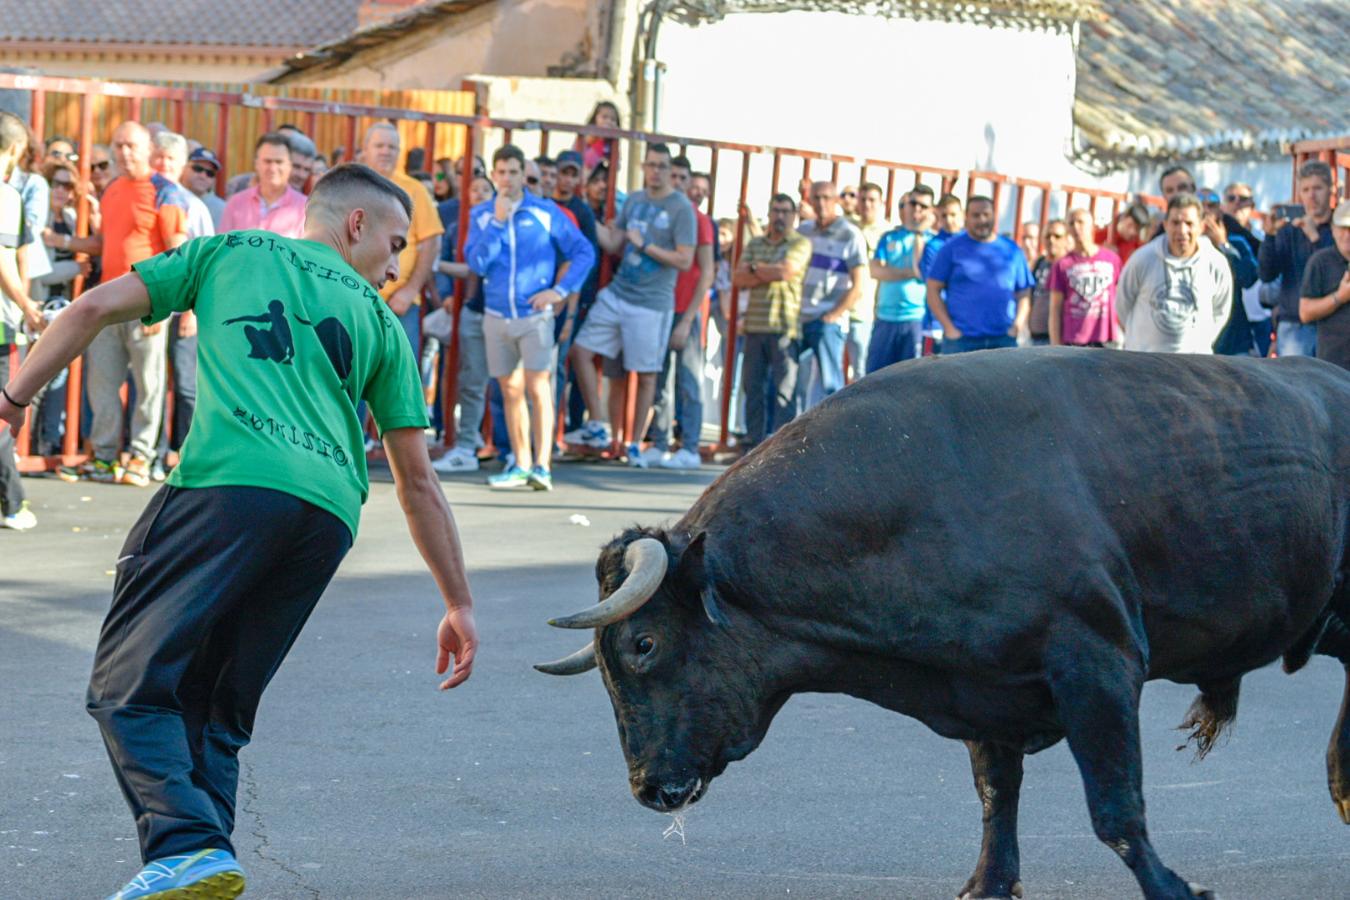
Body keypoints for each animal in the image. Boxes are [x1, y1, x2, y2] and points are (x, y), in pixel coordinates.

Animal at [537, 350, 1350, 900]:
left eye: (643, 644)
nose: (648, 787)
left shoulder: (1099, 662)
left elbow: (1116, 808)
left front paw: (1177, 887)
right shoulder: (983, 694)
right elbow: (997, 798)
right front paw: (987, 884)